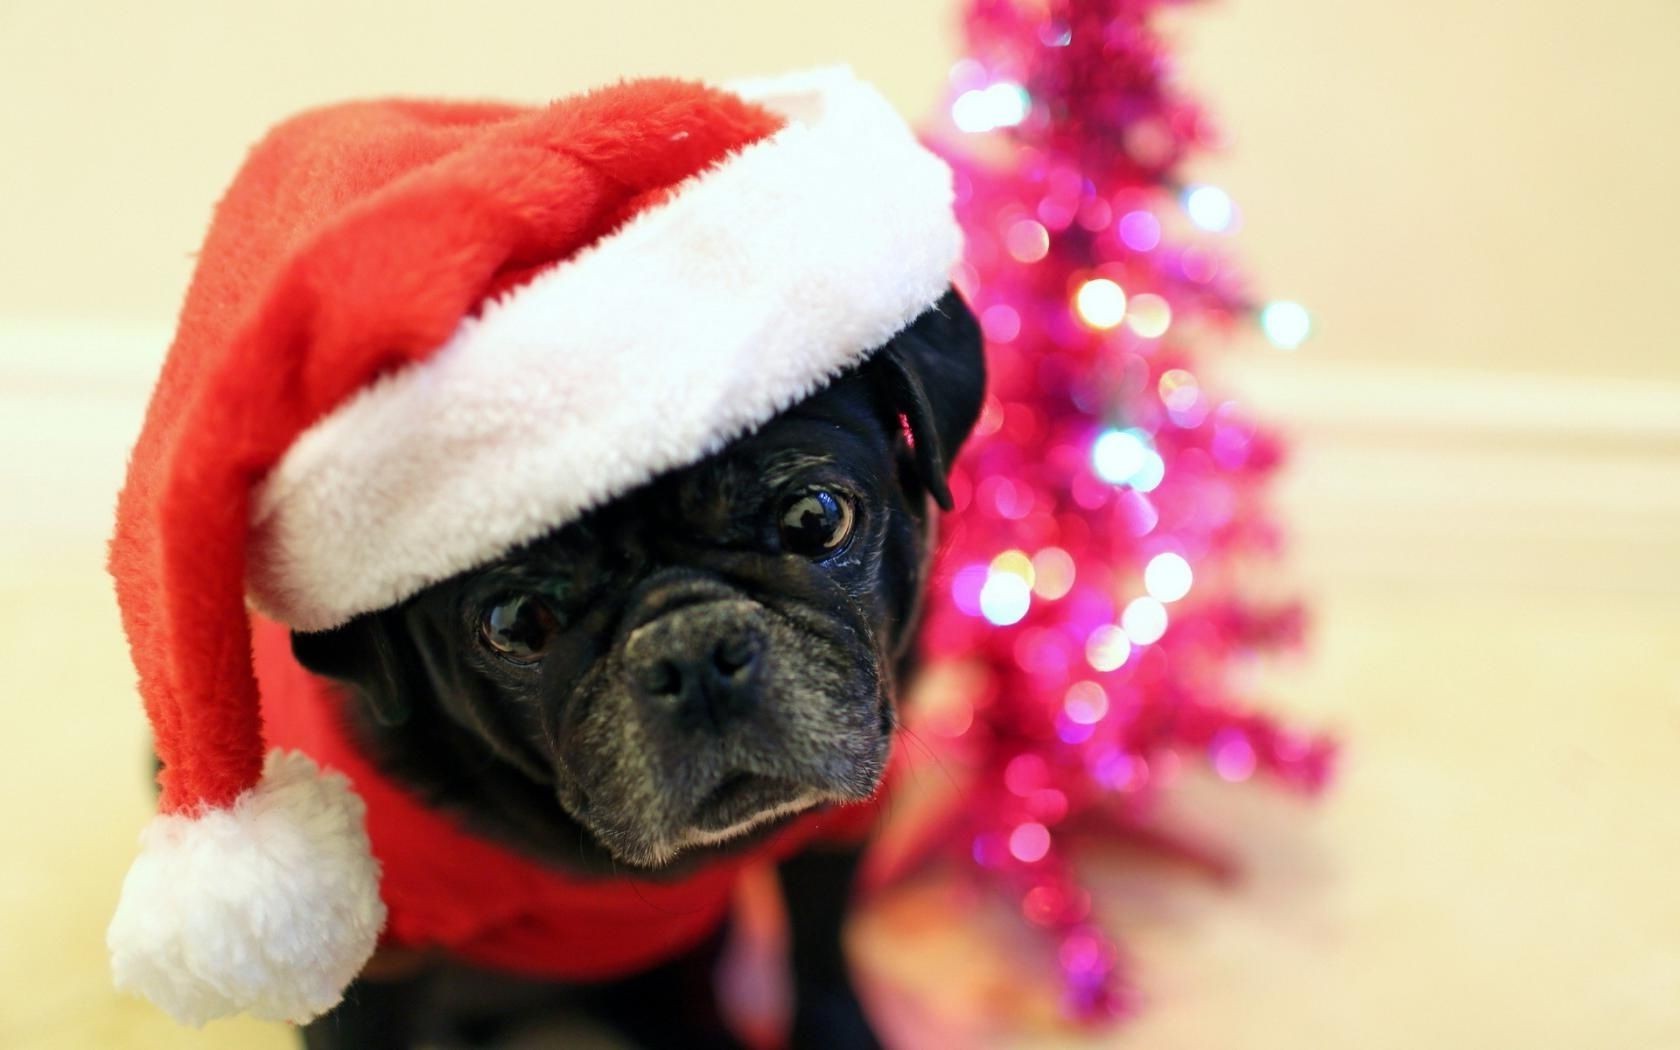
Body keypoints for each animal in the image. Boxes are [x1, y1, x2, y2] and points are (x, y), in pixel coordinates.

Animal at [288, 288, 981, 1048]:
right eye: (517, 623)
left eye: (815, 518)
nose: (693, 650)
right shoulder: (372, 962)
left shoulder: (829, 838)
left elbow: (820, 964)